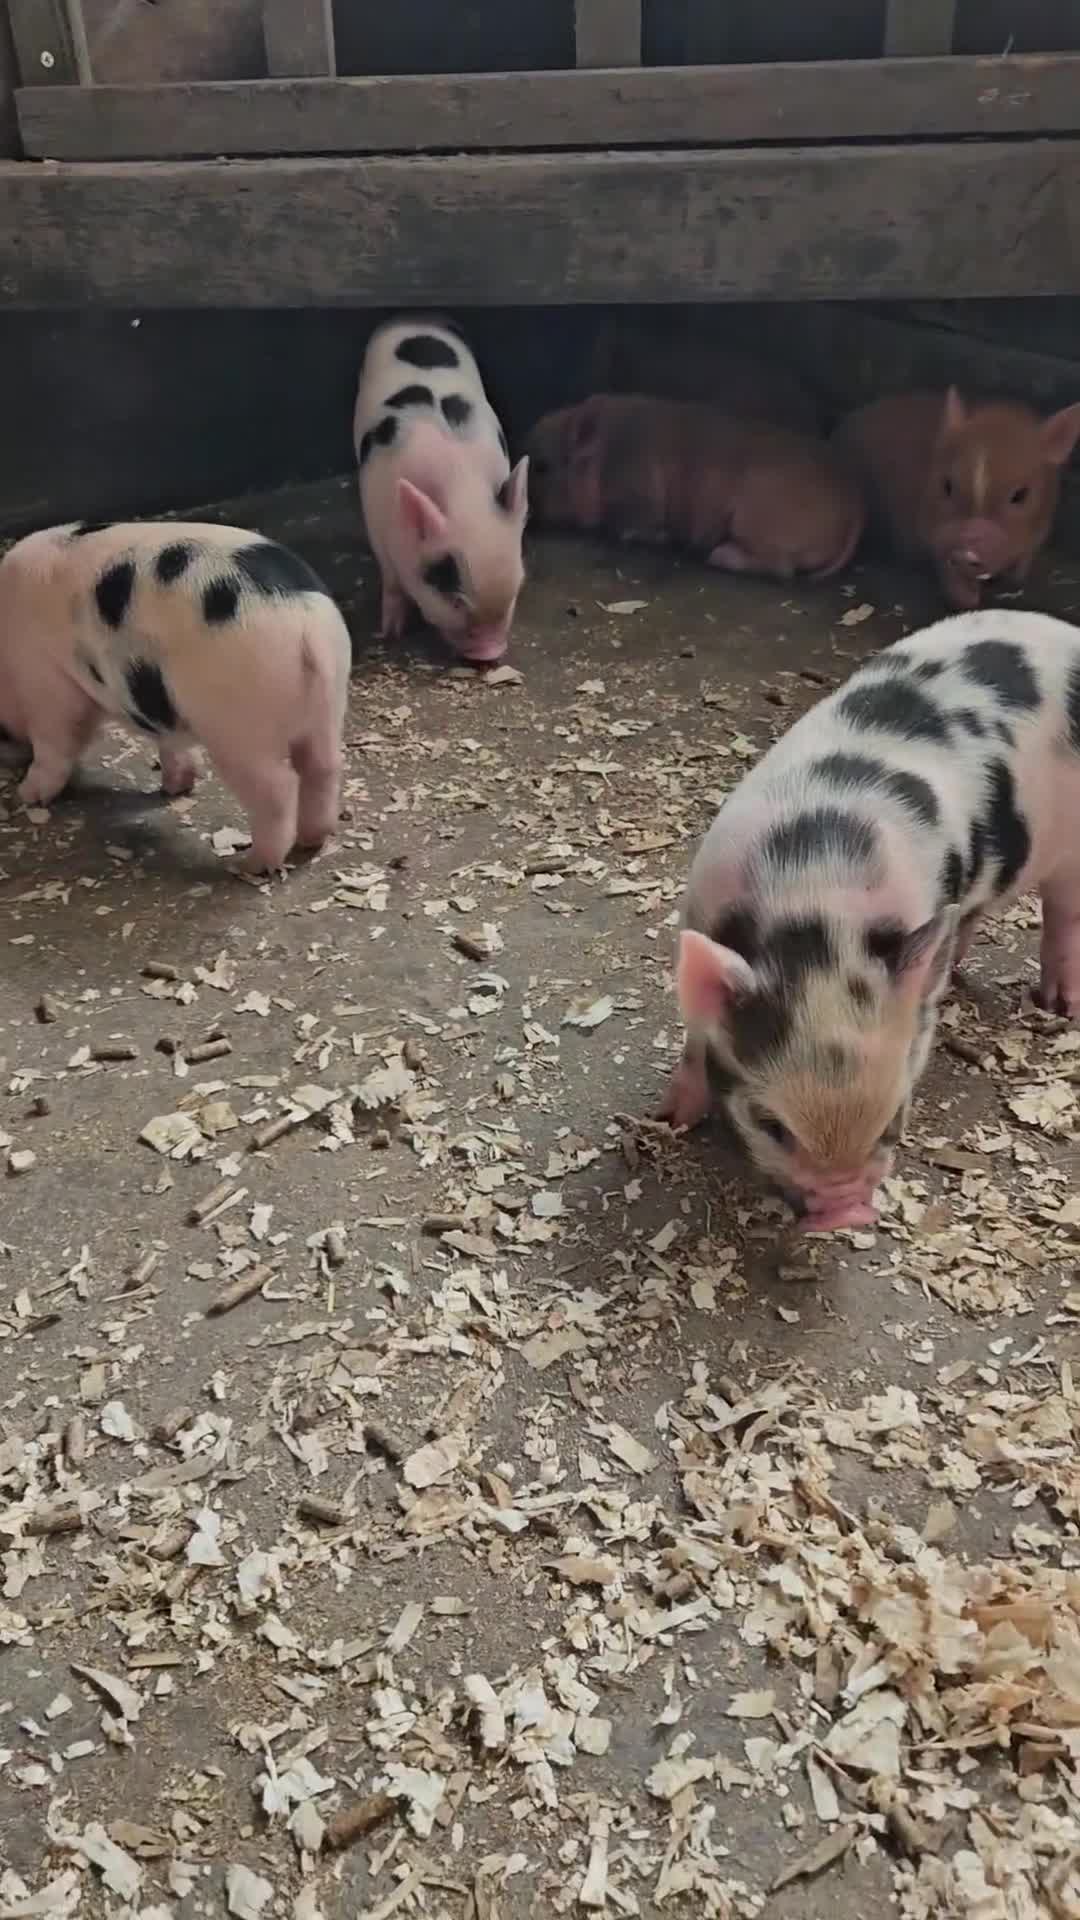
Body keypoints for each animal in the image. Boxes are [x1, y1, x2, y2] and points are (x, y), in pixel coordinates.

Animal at [0, 520, 351, 874]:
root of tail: (306, 625)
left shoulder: (49, 683)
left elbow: (55, 743)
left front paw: (27, 795)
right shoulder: (162, 710)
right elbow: (173, 744)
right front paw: (174, 788)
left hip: (238, 727)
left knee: (279, 787)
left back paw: (250, 864)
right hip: (328, 703)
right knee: (323, 767)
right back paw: (312, 840)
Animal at [354, 316, 529, 665]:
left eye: (516, 588)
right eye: (454, 599)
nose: (491, 653)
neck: (461, 484)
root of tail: (413, 316)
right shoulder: (376, 523)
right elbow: (392, 583)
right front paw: (391, 631)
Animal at [525, 394, 864, 582]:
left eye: (542, 466)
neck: (606, 457)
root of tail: (855, 506)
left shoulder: (638, 500)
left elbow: (631, 530)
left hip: (755, 519)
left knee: (782, 569)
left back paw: (716, 555)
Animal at [659, 607, 1080, 1231]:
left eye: (892, 1120)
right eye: (772, 1126)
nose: (845, 1213)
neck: (815, 901)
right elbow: (695, 1037)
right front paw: (670, 1119)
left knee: (1063, 913)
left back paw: (1058, 1005)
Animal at [834, 387, 1080, 611]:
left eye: (1020, 495)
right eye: (947, 486)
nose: (964, 553)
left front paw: (1012, 580)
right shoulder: (931, 527)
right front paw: (966, 601)